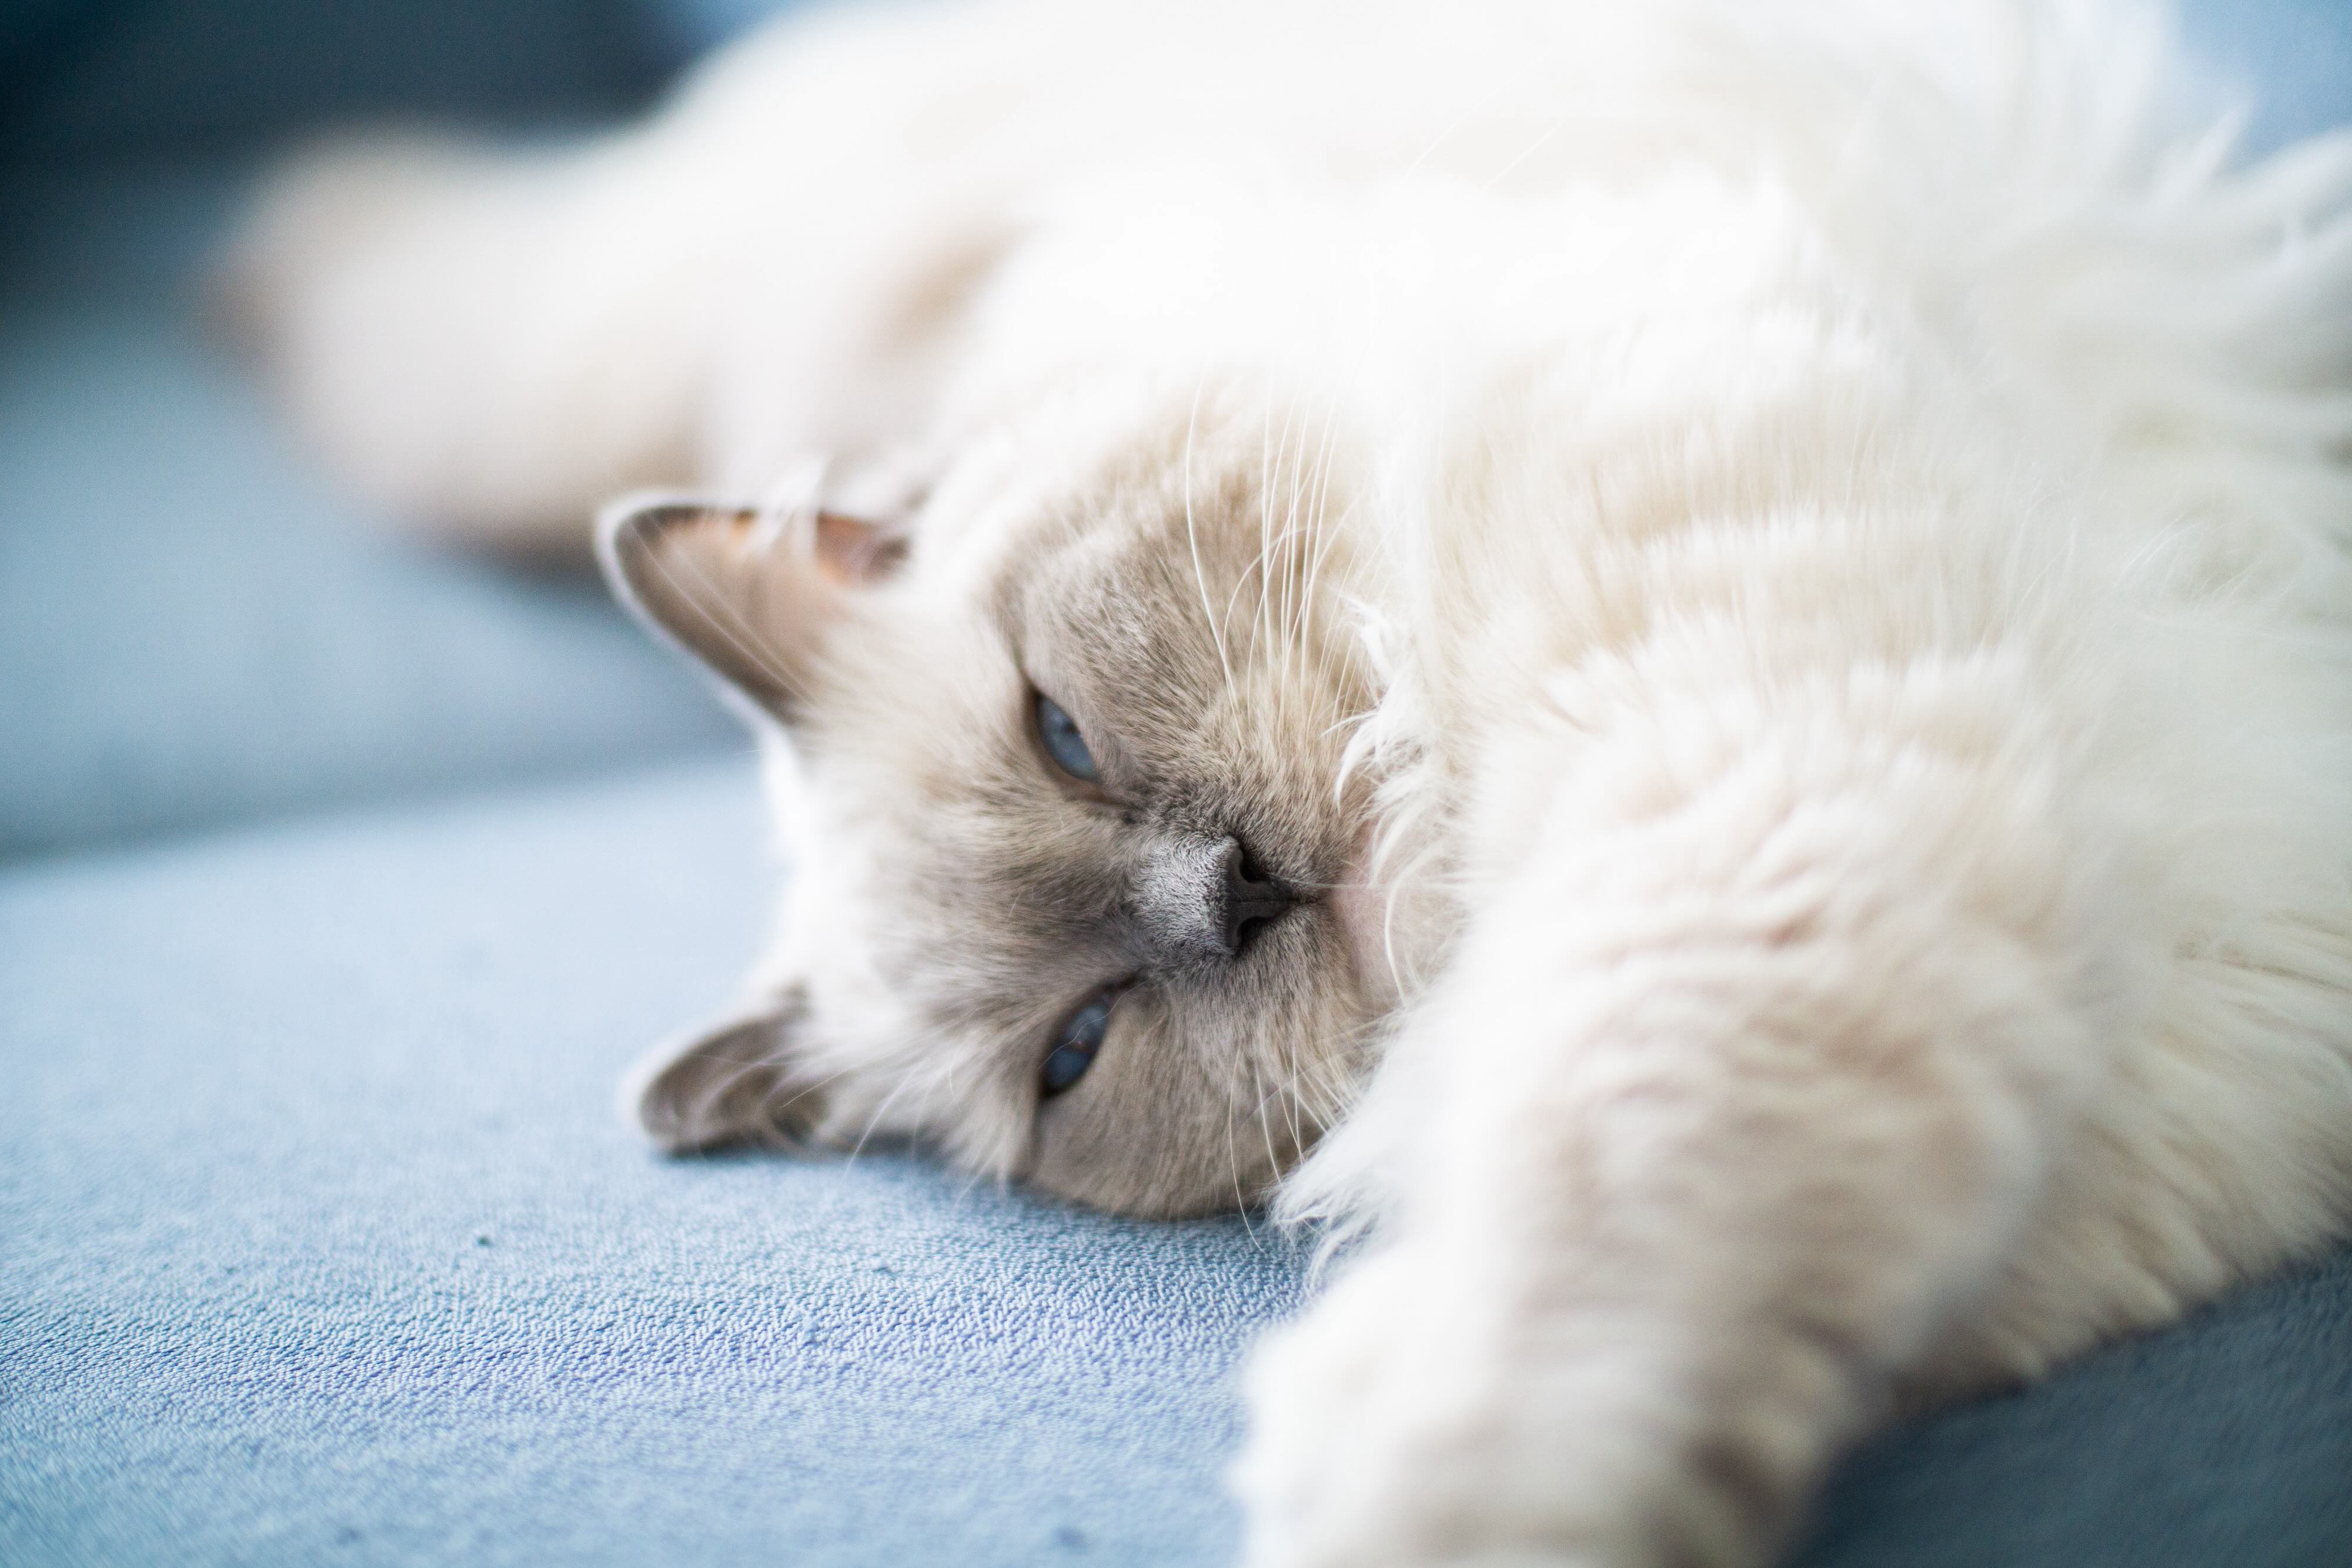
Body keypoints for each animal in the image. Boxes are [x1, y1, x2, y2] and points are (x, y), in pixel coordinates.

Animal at [229, 3, 2352, 1568]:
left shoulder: (1788, 772)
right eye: (1082, 1045)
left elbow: (1646, 1149)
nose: (1226, 891)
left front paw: (1432, 1485)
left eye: (1061, 729)